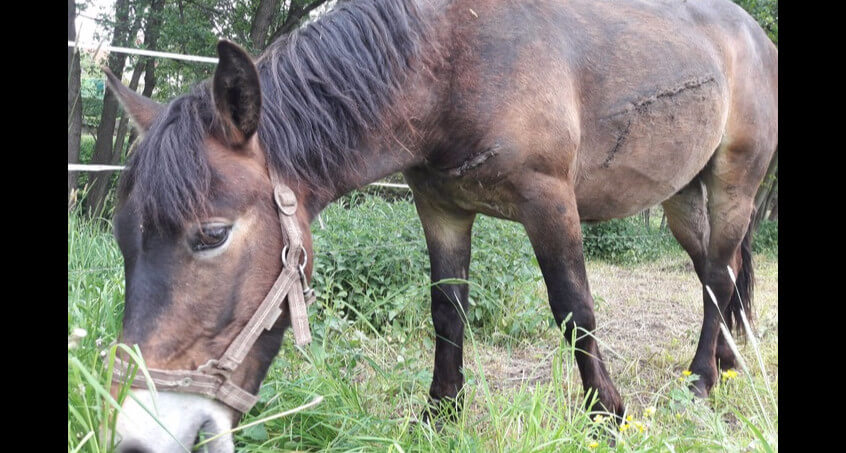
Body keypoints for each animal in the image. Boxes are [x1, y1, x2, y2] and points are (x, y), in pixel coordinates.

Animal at [106, 0, 780, 448]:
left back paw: (701, 381)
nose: (144, 431)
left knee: (718, 277)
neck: (450, 58)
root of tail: (755, 35)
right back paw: (724, 362)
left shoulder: (549, 200)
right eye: (122, 242)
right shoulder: (441, 207)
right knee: (716, 272)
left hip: (732, 185)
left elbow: (574, 310)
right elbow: (447, 312)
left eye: (212, 236)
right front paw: (441, 413)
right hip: (682, 196)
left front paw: (606, 417)